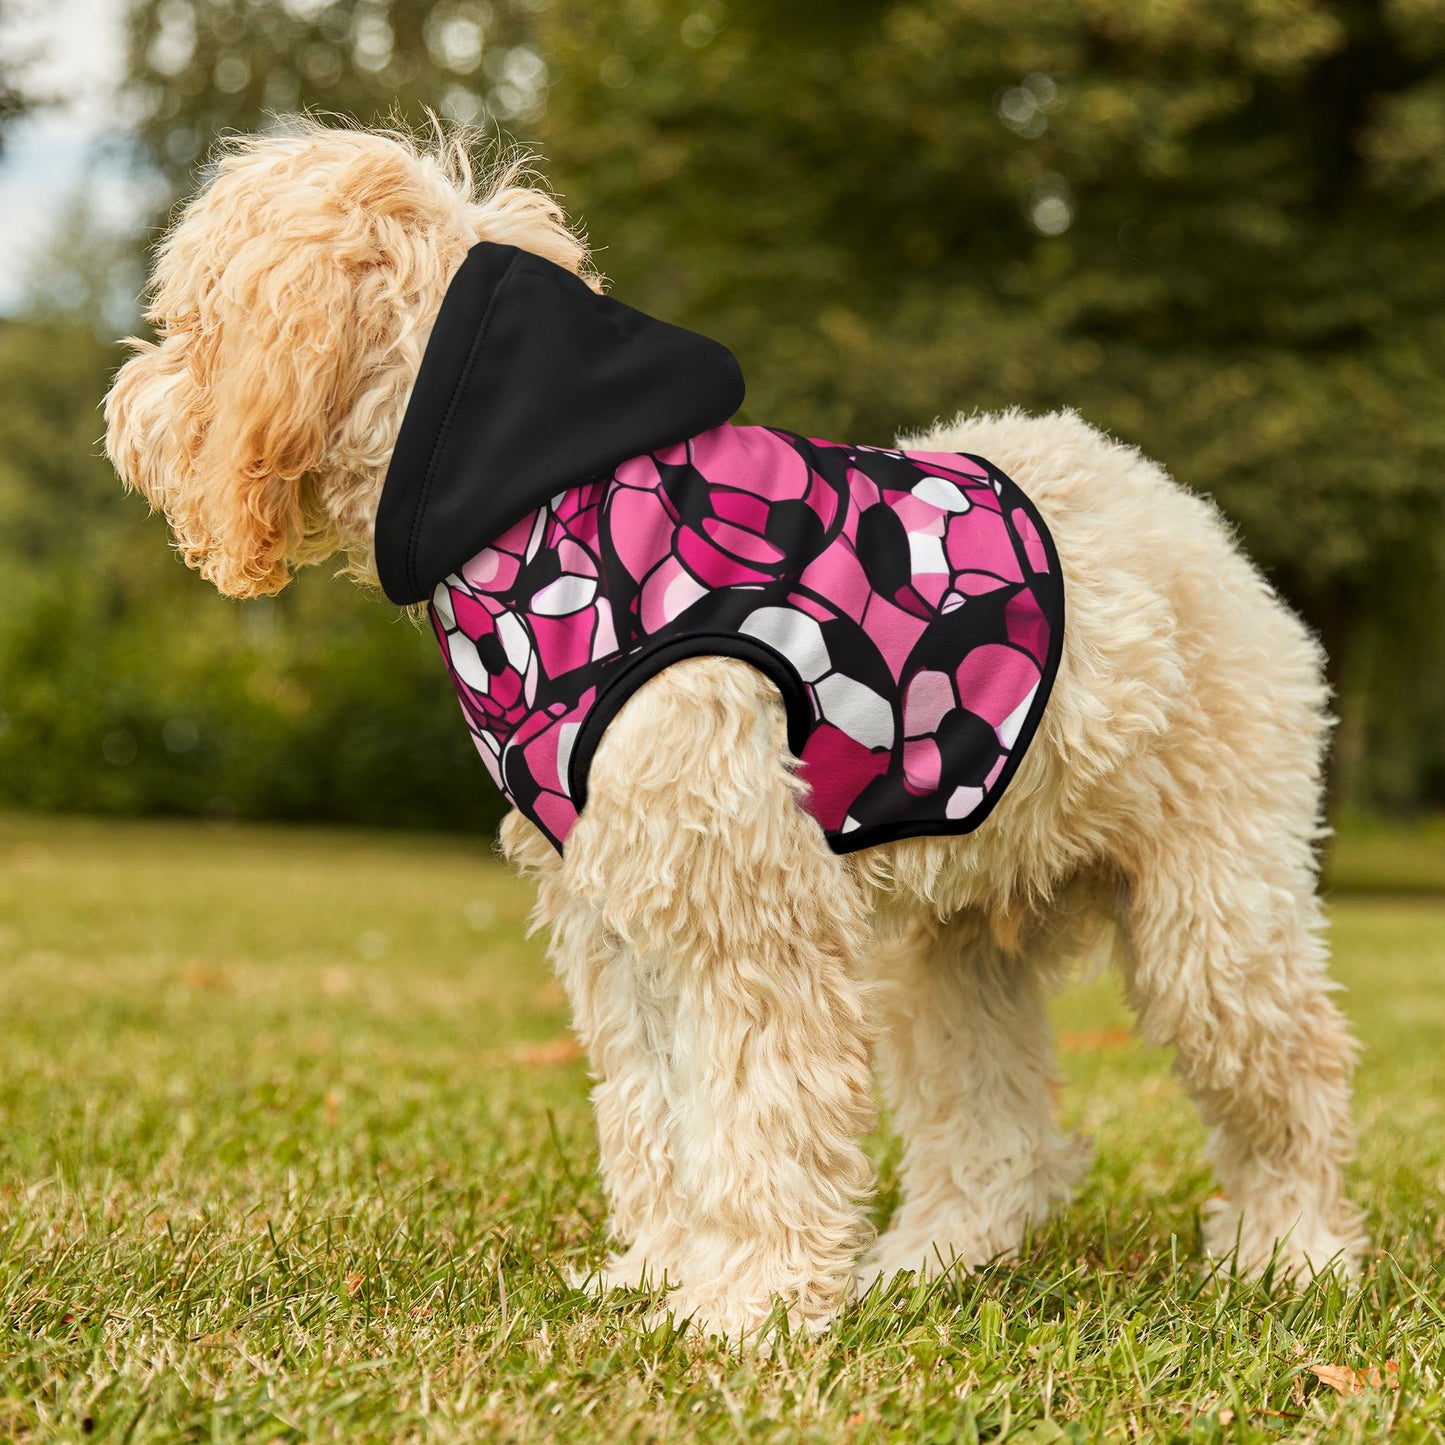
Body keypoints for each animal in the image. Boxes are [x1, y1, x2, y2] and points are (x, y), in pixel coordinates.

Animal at [104, 124, 1364, 1340]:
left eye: (191, 319)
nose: (123, 409)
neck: (539, 509)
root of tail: (1190, 519)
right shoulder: (619, 918)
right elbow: (656, 1112)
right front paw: (662, 1272)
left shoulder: (744, 909)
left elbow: (758, 1112)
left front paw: (747, 1304)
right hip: (948, 948)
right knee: (996, 1133)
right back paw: (930, 1260)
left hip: (1213, 914)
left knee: (1293, 1074)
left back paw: (1290, 1251)